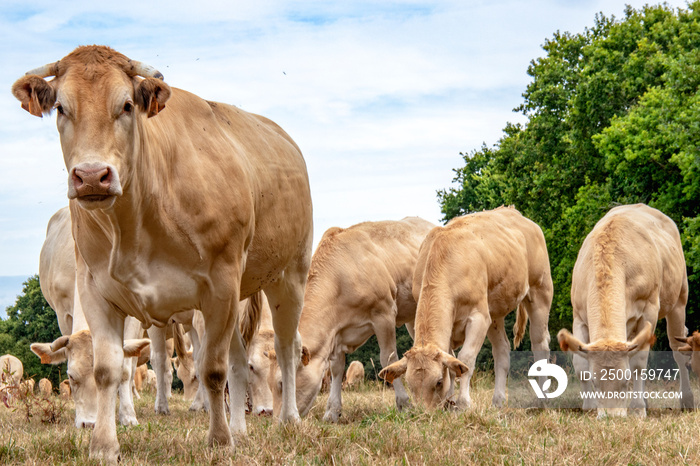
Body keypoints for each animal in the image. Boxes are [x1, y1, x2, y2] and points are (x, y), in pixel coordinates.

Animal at [270, 218, 438, 422]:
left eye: (281, 383)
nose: (278, 421)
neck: (340, 278)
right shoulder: (337, 332)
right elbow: (336, 368)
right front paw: (332, 412)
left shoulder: (384, 313)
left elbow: (388, 359)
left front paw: (404, 404)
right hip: (413, 316)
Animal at [378, 206, 552, 410]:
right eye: (410, 384)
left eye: (438, 382)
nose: (424, 413)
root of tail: (515, 212)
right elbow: (453, 366)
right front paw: (449, 402)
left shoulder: (479, 317)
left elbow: (465, 359)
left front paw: (462, 404)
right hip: (495, 312)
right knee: (502, 351)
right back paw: (498, 401)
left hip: (540, 291)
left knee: (540, 344)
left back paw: (543, 399)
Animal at [556, 204, 696, 416]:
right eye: (595, 383)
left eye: (625, 381)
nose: (611, 417)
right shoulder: (579, 315)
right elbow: (580, 365)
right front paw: (589, 407)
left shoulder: (649, 311)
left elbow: (638, 362)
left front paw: (637, 409)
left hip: (679, 299)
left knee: (678, 351)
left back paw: (687, 401)